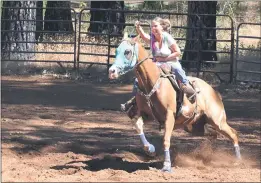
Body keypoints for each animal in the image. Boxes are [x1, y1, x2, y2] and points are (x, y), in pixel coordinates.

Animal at [107, 33, 240, 173]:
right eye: (116, 51)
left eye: (127, 51)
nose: (111, 71)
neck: (152, 82)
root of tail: (214, 92)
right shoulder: (146, 114)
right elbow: (138, 125)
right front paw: (150, 150)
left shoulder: (169, 115)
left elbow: (166, 140)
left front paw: (166, 166)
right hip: (194, 127)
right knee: (214, 134)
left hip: (217, 120)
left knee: (233, 134)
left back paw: (238, 161)